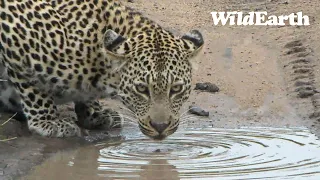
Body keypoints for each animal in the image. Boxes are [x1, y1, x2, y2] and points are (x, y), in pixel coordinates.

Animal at [0, 0, 204, 140]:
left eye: (176, 89)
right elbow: (34, 88)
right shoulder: (15, 34)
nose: (160, 127)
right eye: (141, 89)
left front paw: (94, 113)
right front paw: (48, 121)